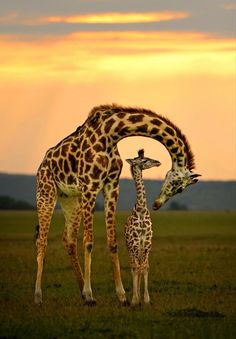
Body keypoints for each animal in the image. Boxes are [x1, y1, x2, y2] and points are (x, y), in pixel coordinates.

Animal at [34, 103, 200, 306]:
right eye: (179, 187)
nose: (157, 204)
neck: (110, 134)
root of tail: (42, 163)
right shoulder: (90, 185)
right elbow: (88, 241)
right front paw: (91, 294)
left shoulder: (112, 185)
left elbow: (112, 242)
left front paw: (122, 296)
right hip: (46, 191)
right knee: (42, 240)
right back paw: (39, 296)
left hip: (71, 199)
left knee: (69, 239)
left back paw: (81, 292)